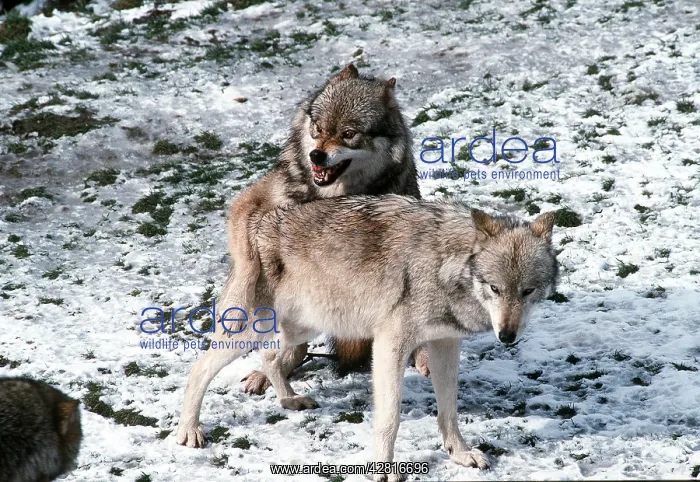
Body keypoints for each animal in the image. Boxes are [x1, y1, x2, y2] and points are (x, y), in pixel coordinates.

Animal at [176, 64, 427, 448]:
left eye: (349, 134)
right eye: (318, 129)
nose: (317, 156)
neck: (333, 194)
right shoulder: (254, 200)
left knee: (276, 354)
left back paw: (288, 396)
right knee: (210, 365)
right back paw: (192, 428)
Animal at [186, 195, 559, 480]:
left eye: (527, 291)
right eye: (494, 289)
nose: (507, 335)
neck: (445, 265)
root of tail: (260, 220)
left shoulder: (445, 344)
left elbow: (449, 409)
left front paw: (461, 453)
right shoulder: (390, 344)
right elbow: (389, 418)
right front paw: (383, 470)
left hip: (306, 325)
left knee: (270, 356)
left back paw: (290, 399)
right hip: (252, 329)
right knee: (199, 369)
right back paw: (188, 431)